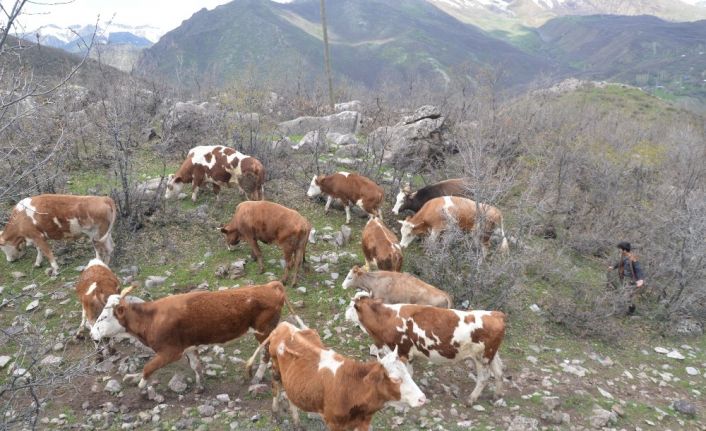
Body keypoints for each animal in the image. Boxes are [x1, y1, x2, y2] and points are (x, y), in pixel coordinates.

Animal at [91, 284, 286, 392]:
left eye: (104, 317)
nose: (92, 333)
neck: (151, 318)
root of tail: (270, 286)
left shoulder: (170, 352)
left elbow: (148, 367)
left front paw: (141, 385)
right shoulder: (189, 347)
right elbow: (196, 365)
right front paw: (200, 385)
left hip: (263, 332)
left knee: (266, 354)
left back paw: (257, 377)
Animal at [245, 322, 426, 430]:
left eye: (409, 374)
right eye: (396, 379)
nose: (422, 399)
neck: (354, 389)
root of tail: (283, 326)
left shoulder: (364, 422)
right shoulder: (333, 423)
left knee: (290, 396)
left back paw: (297, 423)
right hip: (276, 370)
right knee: (276, 389)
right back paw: (276, 414)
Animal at [346, 292, 500, 406]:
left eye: (352, 305)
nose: (345, 314)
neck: (386, 319)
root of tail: (496, 314)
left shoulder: (403, 351)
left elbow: (408, 372)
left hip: (483, 357)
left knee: (484, 378)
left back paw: (471, 399)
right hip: (491, 356)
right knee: (499, 372)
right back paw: (497, 396)